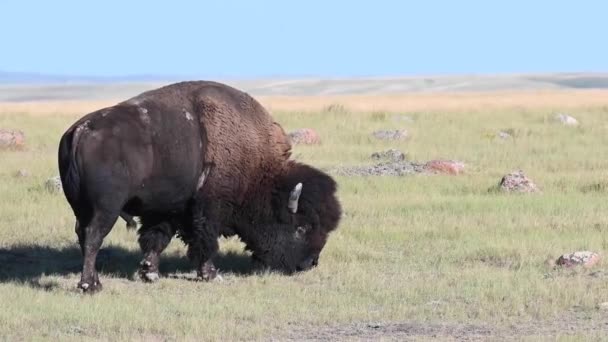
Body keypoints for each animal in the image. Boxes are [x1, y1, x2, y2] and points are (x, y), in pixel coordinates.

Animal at [58, 79, 342, 292]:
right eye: (301, 228)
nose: (309, 263)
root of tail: (81, 130)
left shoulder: (168, 209)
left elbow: (156, 238)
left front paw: (150, 273)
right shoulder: (207, 210)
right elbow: (204, 242)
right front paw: (211, 274)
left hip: (81, 207)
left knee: (83, 235)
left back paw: (94, 280)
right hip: (106, 209)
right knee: (93, 237)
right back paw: (90, 286)